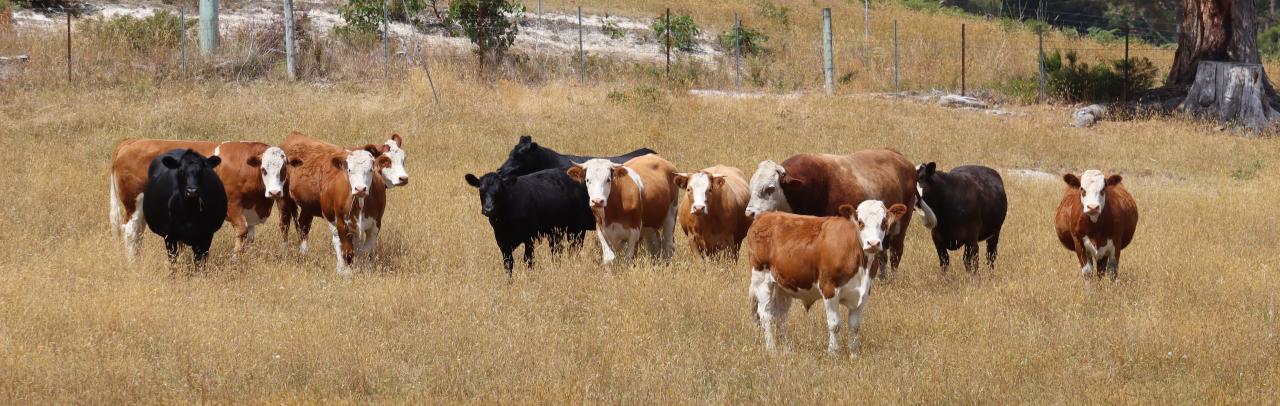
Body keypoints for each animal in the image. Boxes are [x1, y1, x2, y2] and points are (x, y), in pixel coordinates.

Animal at [110, 139, 288, 260]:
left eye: (283, 169)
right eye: (264, 169)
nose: (274, 192)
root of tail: (131, 141)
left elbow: (249, 238)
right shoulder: (233, 205)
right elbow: (242, 232)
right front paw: (234, 261)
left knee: (138, 233)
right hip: (133, 202)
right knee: (131, 231)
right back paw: (132, 263)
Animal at [278, 131, 389, 276]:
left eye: (371, 169)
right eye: (349, 170)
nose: (360, 189)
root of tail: (294, 135)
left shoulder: (376, 223)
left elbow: (366, 250)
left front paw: (365, 269)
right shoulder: (342, 222)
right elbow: (348, 251)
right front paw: (347, 273)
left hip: (308, 206)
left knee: (303, 225)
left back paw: (304, 253)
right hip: (284, 199)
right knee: (285, 224)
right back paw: (286, 251)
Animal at [465, 169, 596, 275]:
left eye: (499, 190)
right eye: (481, 190)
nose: (488, 209)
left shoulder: (529, 237)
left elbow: (528, 260)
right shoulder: (502, 240)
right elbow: (508, 263)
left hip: (577, 229)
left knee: (573, 250)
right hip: (556, 232)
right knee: (557, 251)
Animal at [744, 150, 918, 278]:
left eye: (770, 188)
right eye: (751, 186)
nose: (749, 213)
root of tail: (898, 156)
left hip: (901, 225)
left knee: (896, 252)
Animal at [747, 200, 908, 357]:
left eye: (884, 222)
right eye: (860, 222)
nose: (873, 244)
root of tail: (764, 216)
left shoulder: (864, 292)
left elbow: (855, 326)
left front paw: (854, 355)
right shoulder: (829, 288)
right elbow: (834, 324)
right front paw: (833, 353)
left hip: (784, 285)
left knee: (781, 315)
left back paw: (786, 349)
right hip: (761, 278)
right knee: (766, 314)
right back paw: (772, 349)